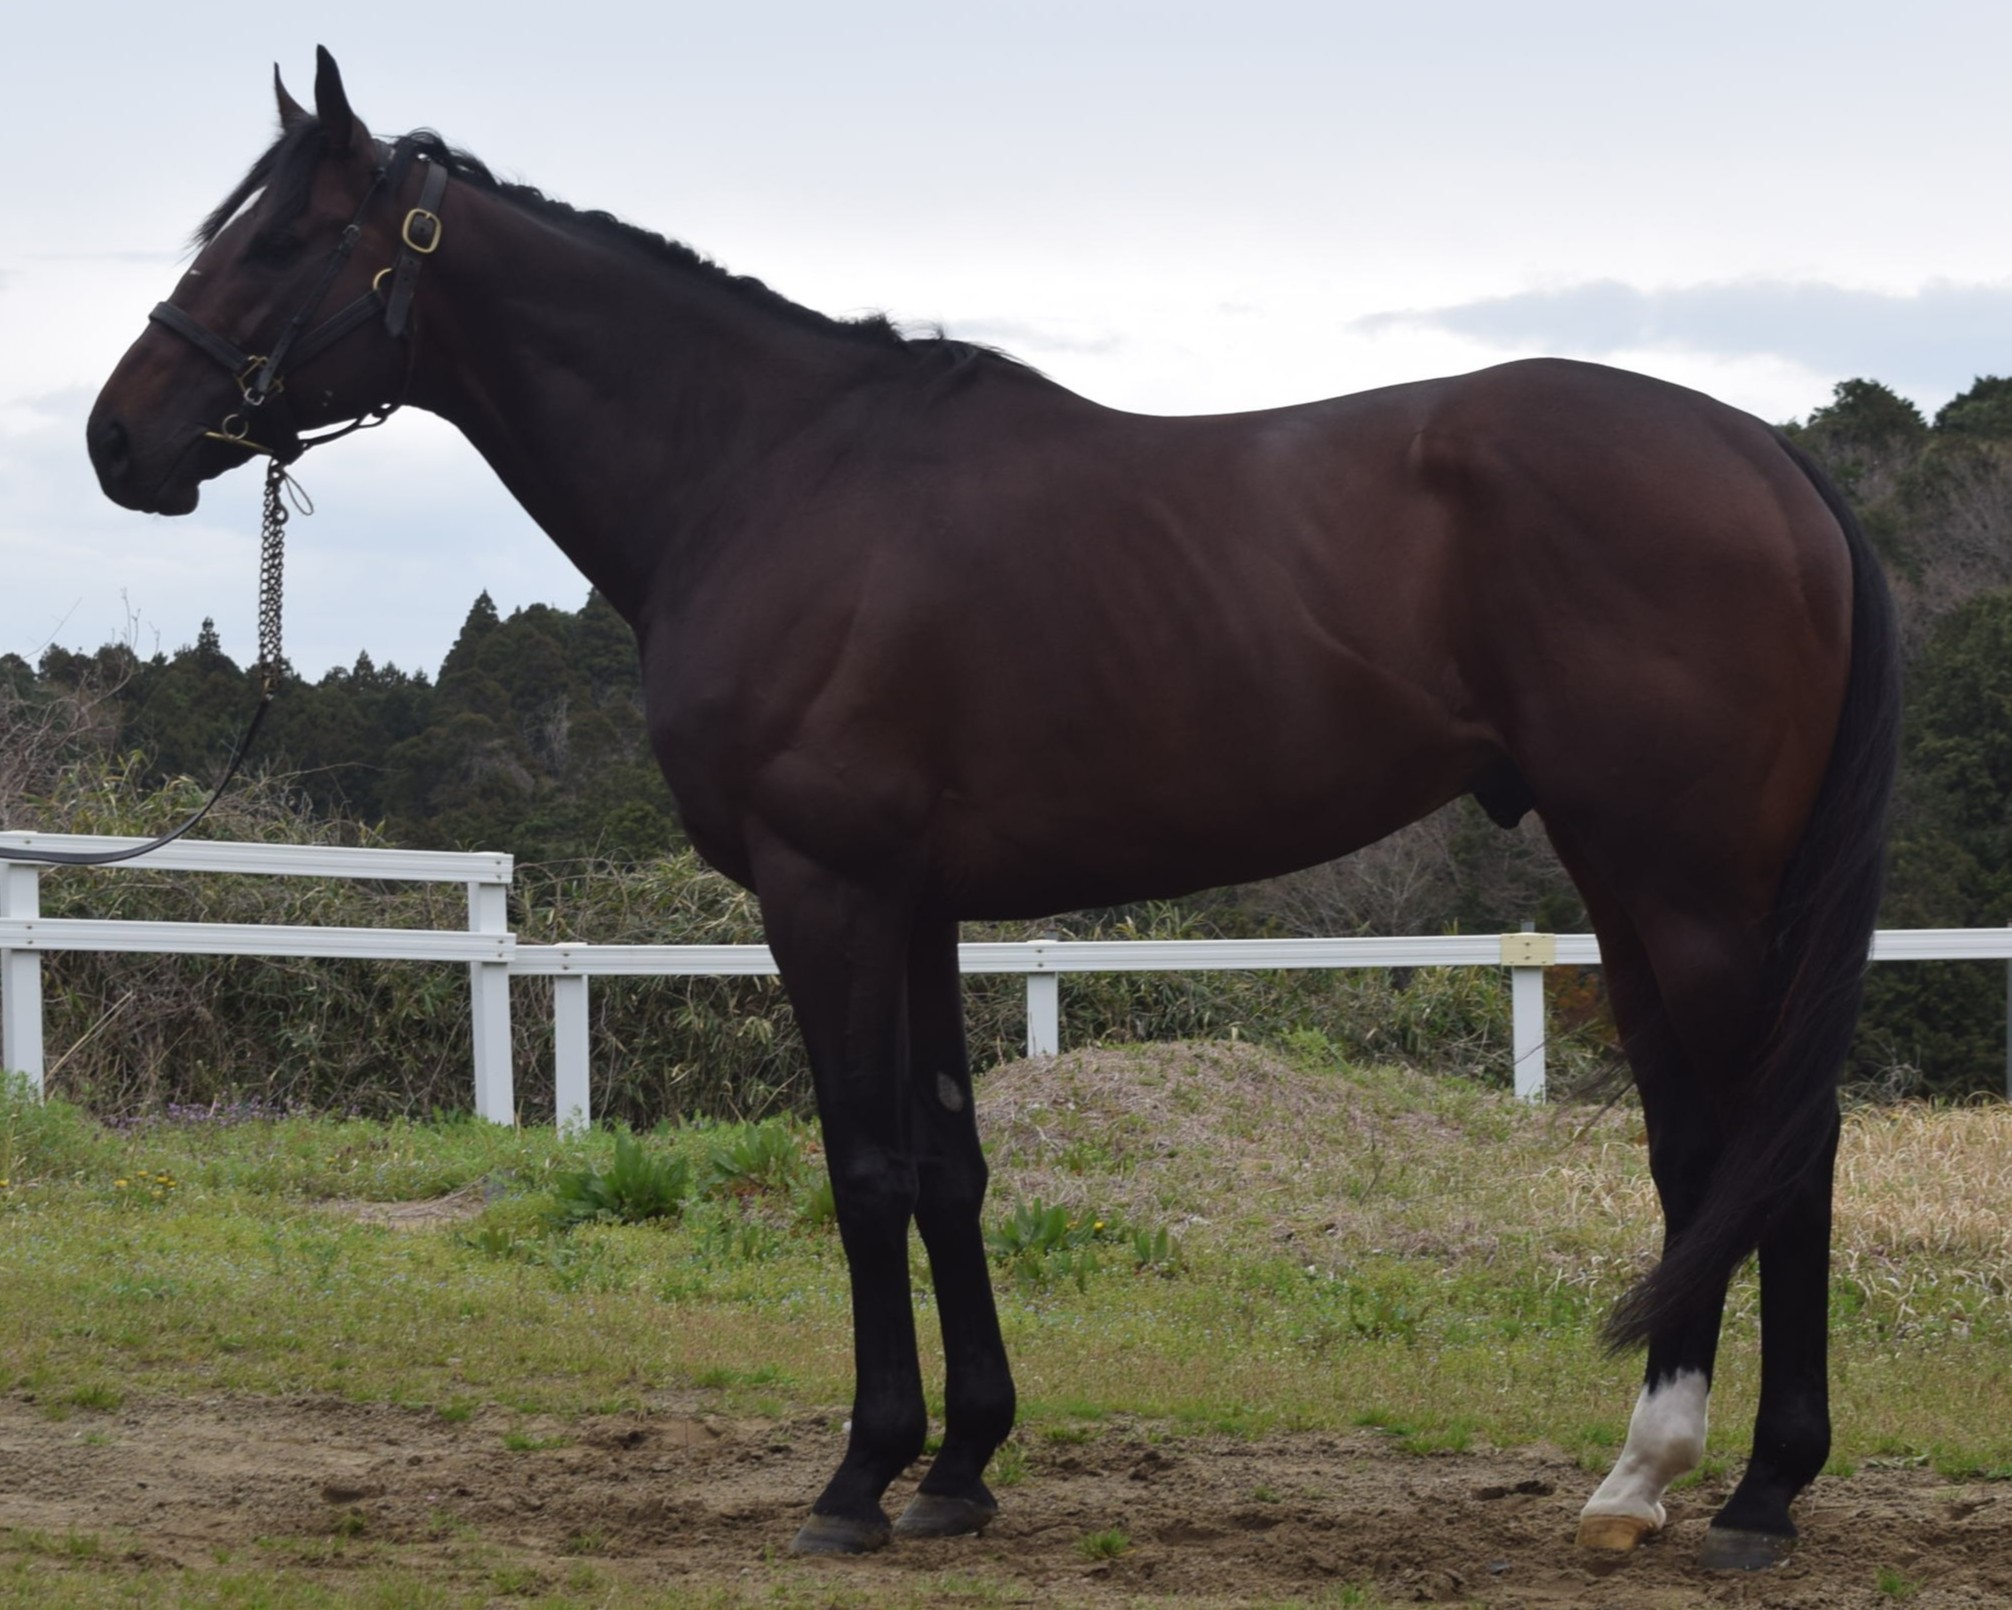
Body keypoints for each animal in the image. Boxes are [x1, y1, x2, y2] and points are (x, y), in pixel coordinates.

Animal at [87, 48, 1898, 1570]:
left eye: (276, 242)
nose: (116, 441)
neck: (763, 473)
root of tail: (1767, 458)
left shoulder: (822, 888)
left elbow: (866, 1164)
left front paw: (856, 1478)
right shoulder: (921, 901)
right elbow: (951, 1166)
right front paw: (959, 1467)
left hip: (1687, 882)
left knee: (1781, 1141)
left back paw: (1757, 1495)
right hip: (1623, 876)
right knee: (1698, 1147)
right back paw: (1639, 1475)